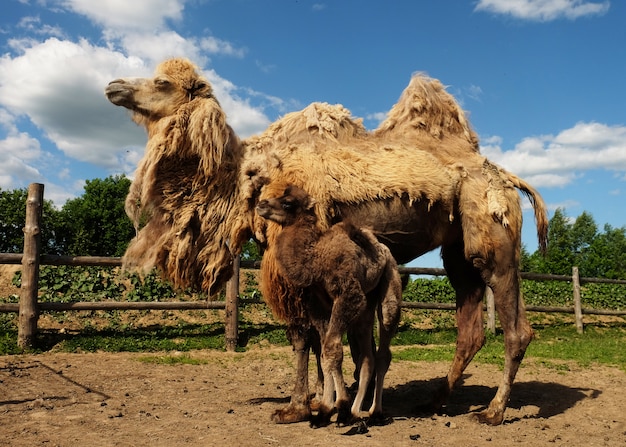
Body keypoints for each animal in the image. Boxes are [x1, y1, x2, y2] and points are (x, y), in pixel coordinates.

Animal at [256, 183, 402, 428]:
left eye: (288, 203)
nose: (261, 204)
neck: (315, 260)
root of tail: (385, 251)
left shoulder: (348, 296)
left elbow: (333, 349)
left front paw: (340, 407)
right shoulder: (318, 305)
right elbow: (325, 353)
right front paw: (325, 411)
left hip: (389, 286)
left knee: (384, 349)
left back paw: (375, 412)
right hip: (366, 306)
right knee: (367, 357)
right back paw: (356, 412)